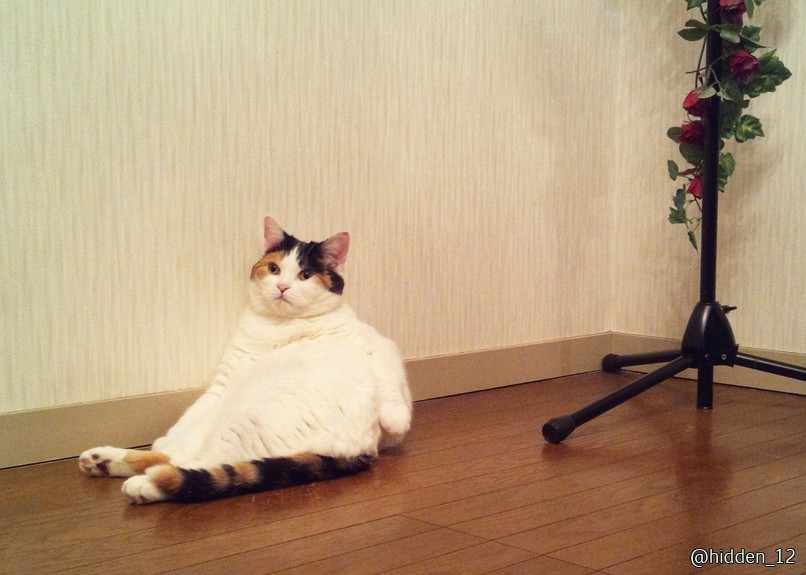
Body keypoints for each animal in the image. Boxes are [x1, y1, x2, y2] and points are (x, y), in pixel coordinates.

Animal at [79, 216, 412, 504]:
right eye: (274, 268)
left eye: (305, 275)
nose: (282, 287)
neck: (278, 328)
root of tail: (361, 450)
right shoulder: (225, 382)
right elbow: (187, 421)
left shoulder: (378, 345)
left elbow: (389, 374)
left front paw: (396, 418)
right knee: (177, 455)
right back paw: (102, 460)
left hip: (243, 421)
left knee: (201, 467)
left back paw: (146, 484)